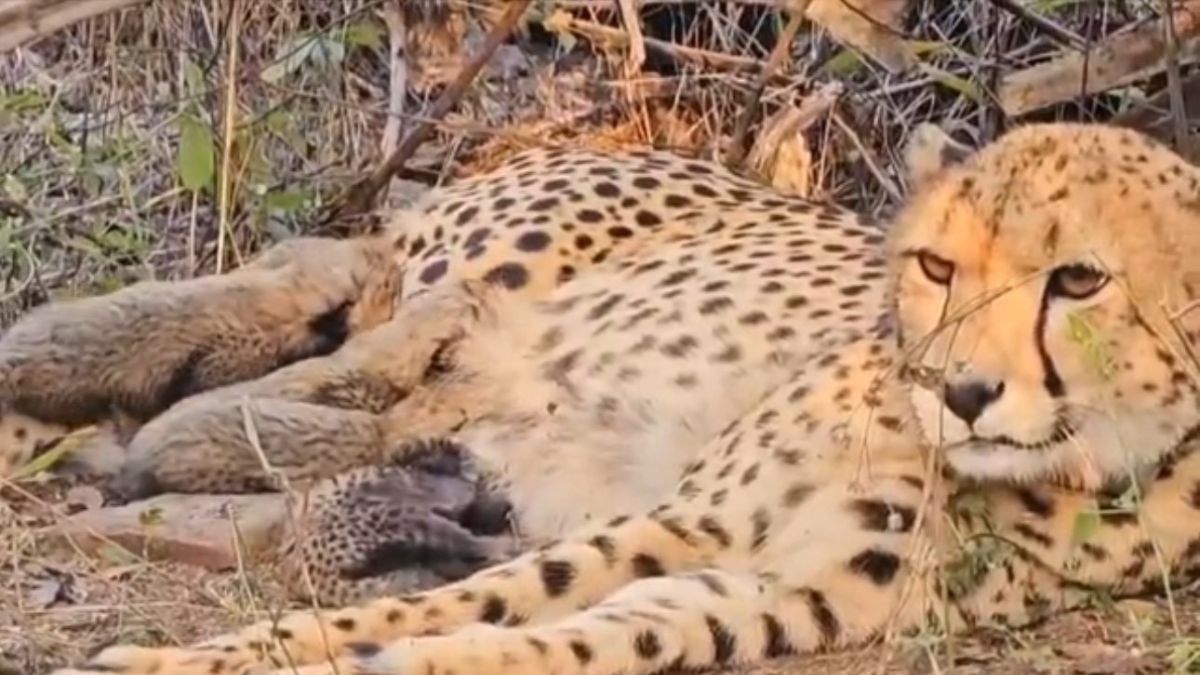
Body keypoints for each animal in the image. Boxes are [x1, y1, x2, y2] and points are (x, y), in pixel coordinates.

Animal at [49, 121, 1200, 675]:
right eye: (935, 266)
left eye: (1079, 281)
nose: (959, 389)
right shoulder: (691, 519)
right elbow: (463, 598)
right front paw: (183, 658)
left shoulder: (775, 591)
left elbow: (551, 633)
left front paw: (398, 654)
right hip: (491, 266)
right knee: (334, 297)